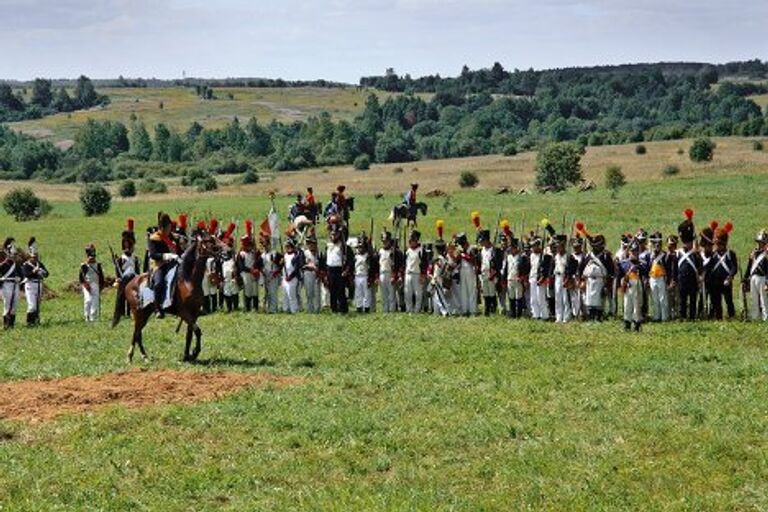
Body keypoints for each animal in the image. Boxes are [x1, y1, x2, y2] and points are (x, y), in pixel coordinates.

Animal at [111, 230, 220, 362]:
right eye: (209, 241)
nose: (227, 251)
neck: (188, 280)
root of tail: (132, 279)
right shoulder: (184, 312)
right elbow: (197, 331)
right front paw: (194, 353)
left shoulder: (194, 314)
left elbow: (190, 334)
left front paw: (187, 355)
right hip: (138, 312)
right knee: (136, 332)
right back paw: (130, 356)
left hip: (145, 313)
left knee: (138, 333)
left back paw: (144, 356)